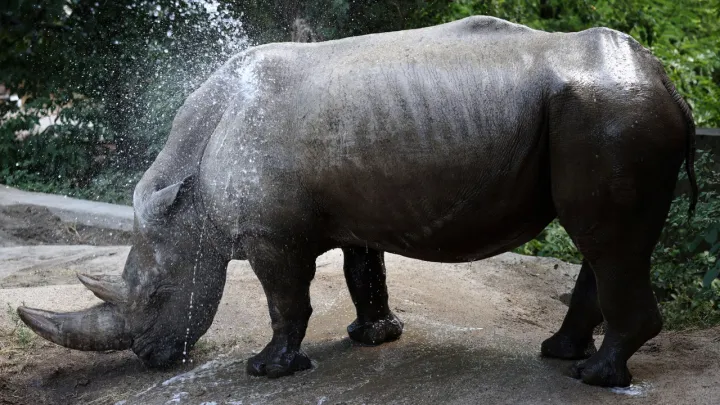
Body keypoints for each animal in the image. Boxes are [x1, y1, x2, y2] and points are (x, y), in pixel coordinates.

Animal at [18, 16, 697, 388]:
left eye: (159, 296)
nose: (152, 360)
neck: (189, 192)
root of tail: (671, 85)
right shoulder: (356, 210)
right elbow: (363, 272)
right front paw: (373, 339)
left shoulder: (272, 236)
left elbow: (286, 298)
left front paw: (267, 370)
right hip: (604, 115)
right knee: (604, 243)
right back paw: (561, 355)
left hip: (611, 115)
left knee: (606, 240)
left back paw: (595, 378)